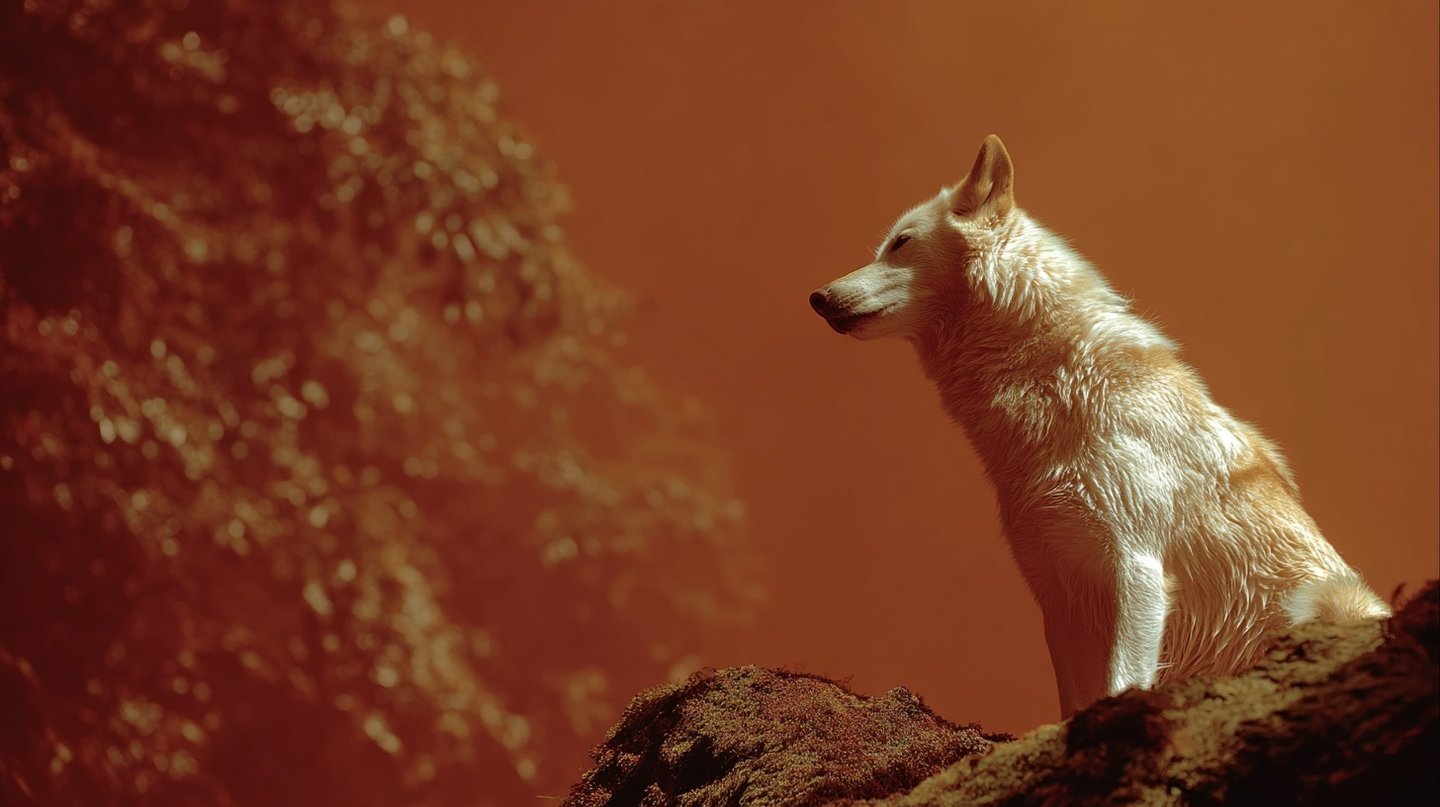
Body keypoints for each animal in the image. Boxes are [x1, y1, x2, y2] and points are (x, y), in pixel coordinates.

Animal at [809, 135, 1390, 717]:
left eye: (901, 244)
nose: (817, 297)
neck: (1058, 384)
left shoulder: (1138, 570)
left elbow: (1121, 683)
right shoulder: (1060, 597)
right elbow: (1074, 702)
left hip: (1326, 601)